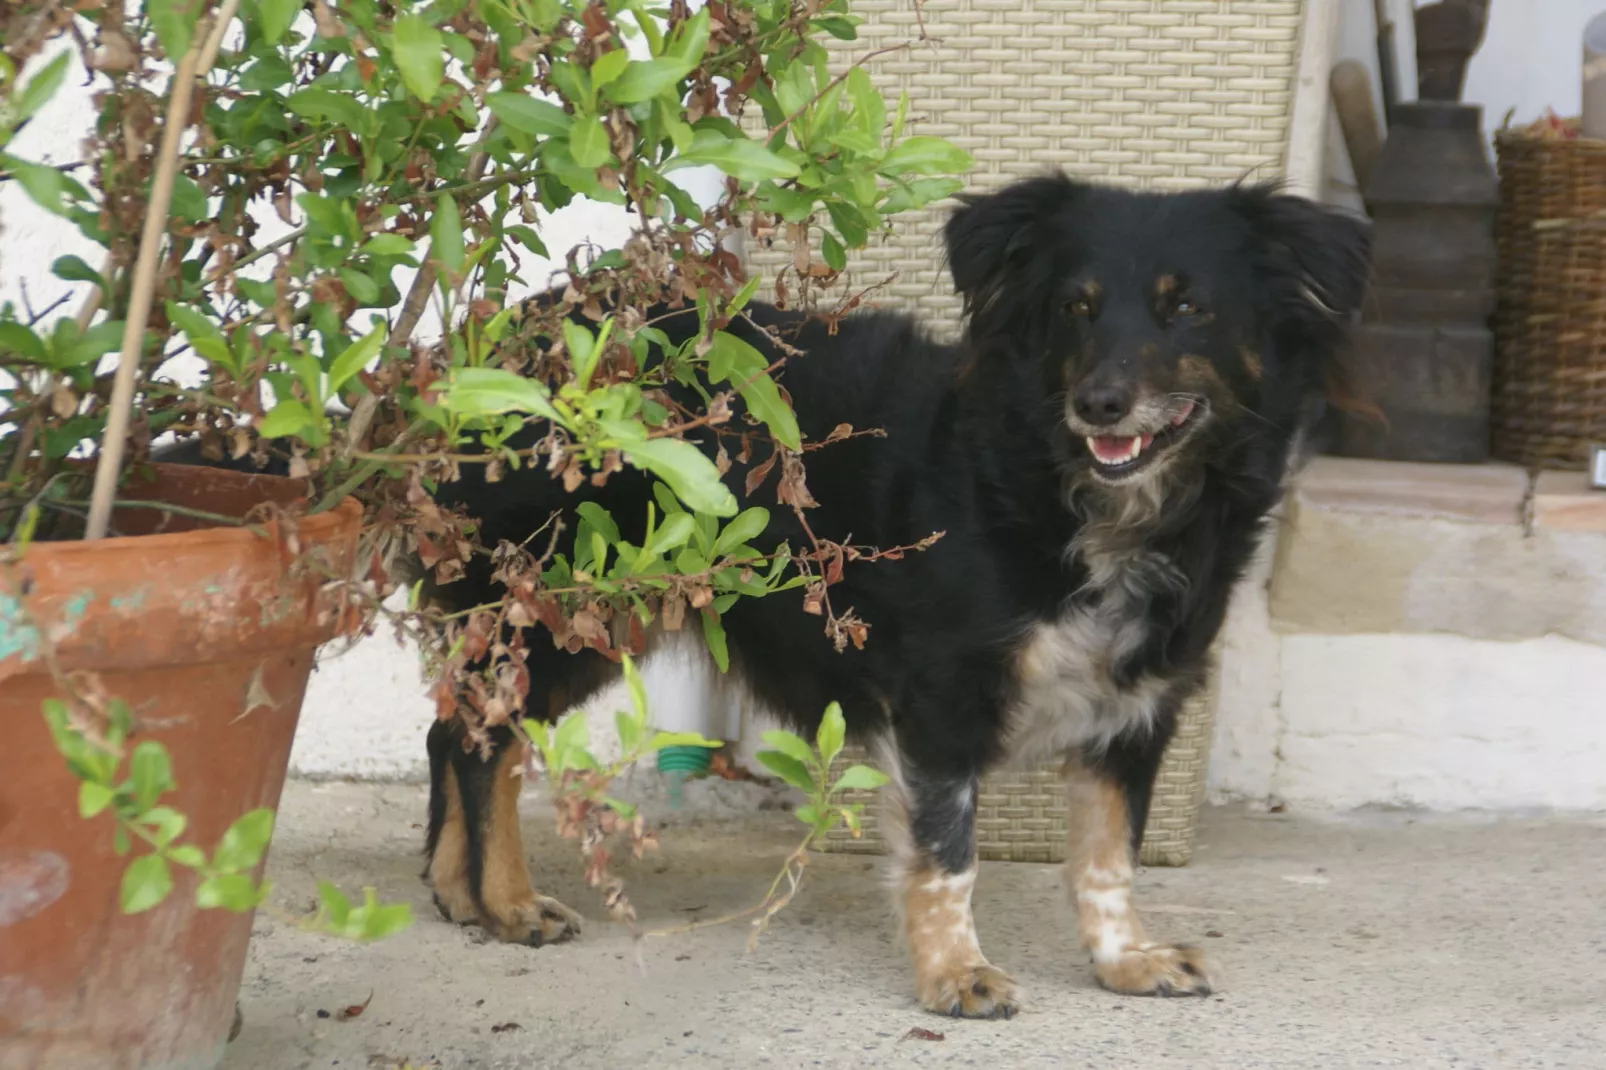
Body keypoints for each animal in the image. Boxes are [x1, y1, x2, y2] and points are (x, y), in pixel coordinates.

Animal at [404, 171, 1368, 1015]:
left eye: (1188, 308)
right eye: (1075, 307)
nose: (1099, 404)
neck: (1068, 497)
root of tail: (468, 358)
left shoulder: (1135, 707)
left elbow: (1107, 858)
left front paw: (1124, 960)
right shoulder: (942, 694)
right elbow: (949, 855)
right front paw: (955, 975)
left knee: (454, 732)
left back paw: (458, 893)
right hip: (567, 607)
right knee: (485, 746)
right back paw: (509, 902)